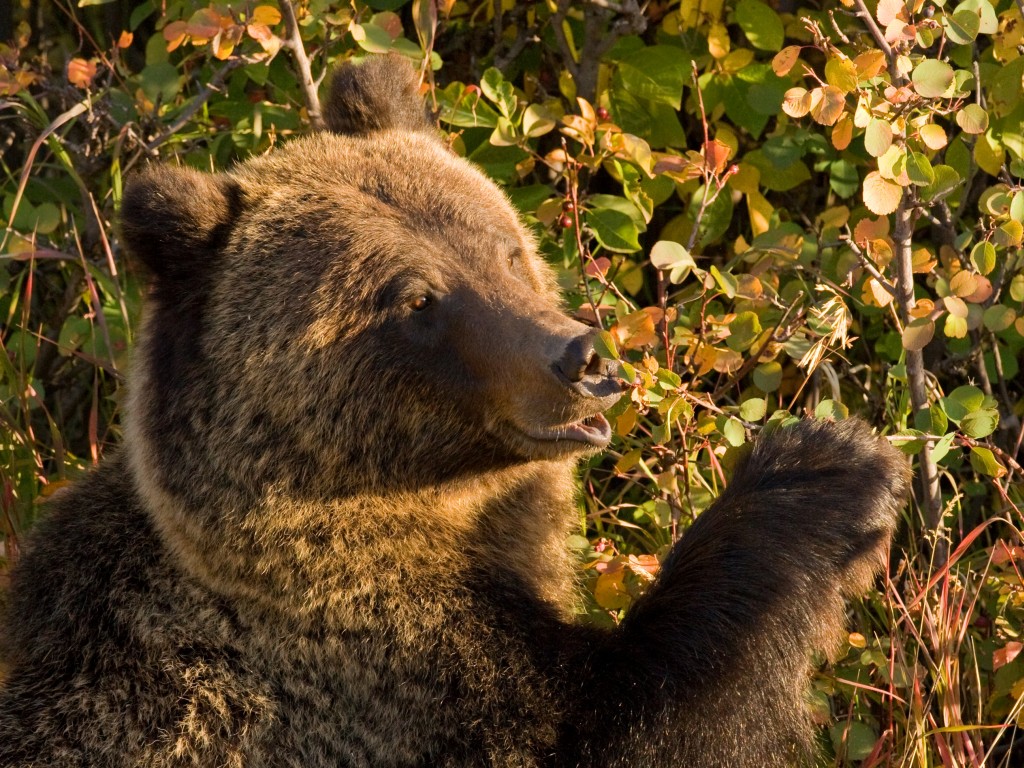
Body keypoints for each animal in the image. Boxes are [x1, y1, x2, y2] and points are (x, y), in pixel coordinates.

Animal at [0, 58, 913, 768]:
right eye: (416, 299)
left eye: (505, 250)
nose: (585, 359)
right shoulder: (385, 688)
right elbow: (642, 718)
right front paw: (828, 471)